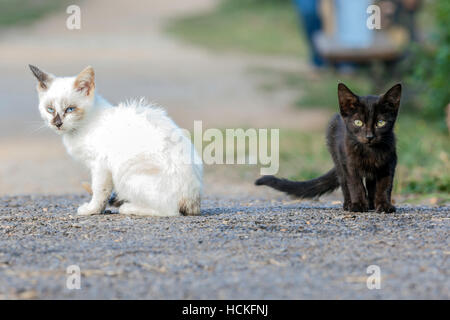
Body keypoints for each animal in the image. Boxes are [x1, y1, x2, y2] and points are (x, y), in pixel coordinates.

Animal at [29, 64, 202, 215]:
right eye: (50, 109)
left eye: (70, 109)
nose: (57, 123)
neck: (82, 126)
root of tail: (193, 201)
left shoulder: (100, 165)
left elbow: (99, 191)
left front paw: (92, 210)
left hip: (127, 174)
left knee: (169, 211)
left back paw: (129, 207)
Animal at [255, 82, 402, 214]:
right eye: (358, 122)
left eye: (380, 123)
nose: (369, 136)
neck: (369, 151)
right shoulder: (349, 163)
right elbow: (355, 185)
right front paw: (358, 205)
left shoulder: (389, 163)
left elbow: (385, 186)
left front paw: (384, 205)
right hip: (338, 157)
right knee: (344, 182)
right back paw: (349, 204)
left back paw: (371, 204)